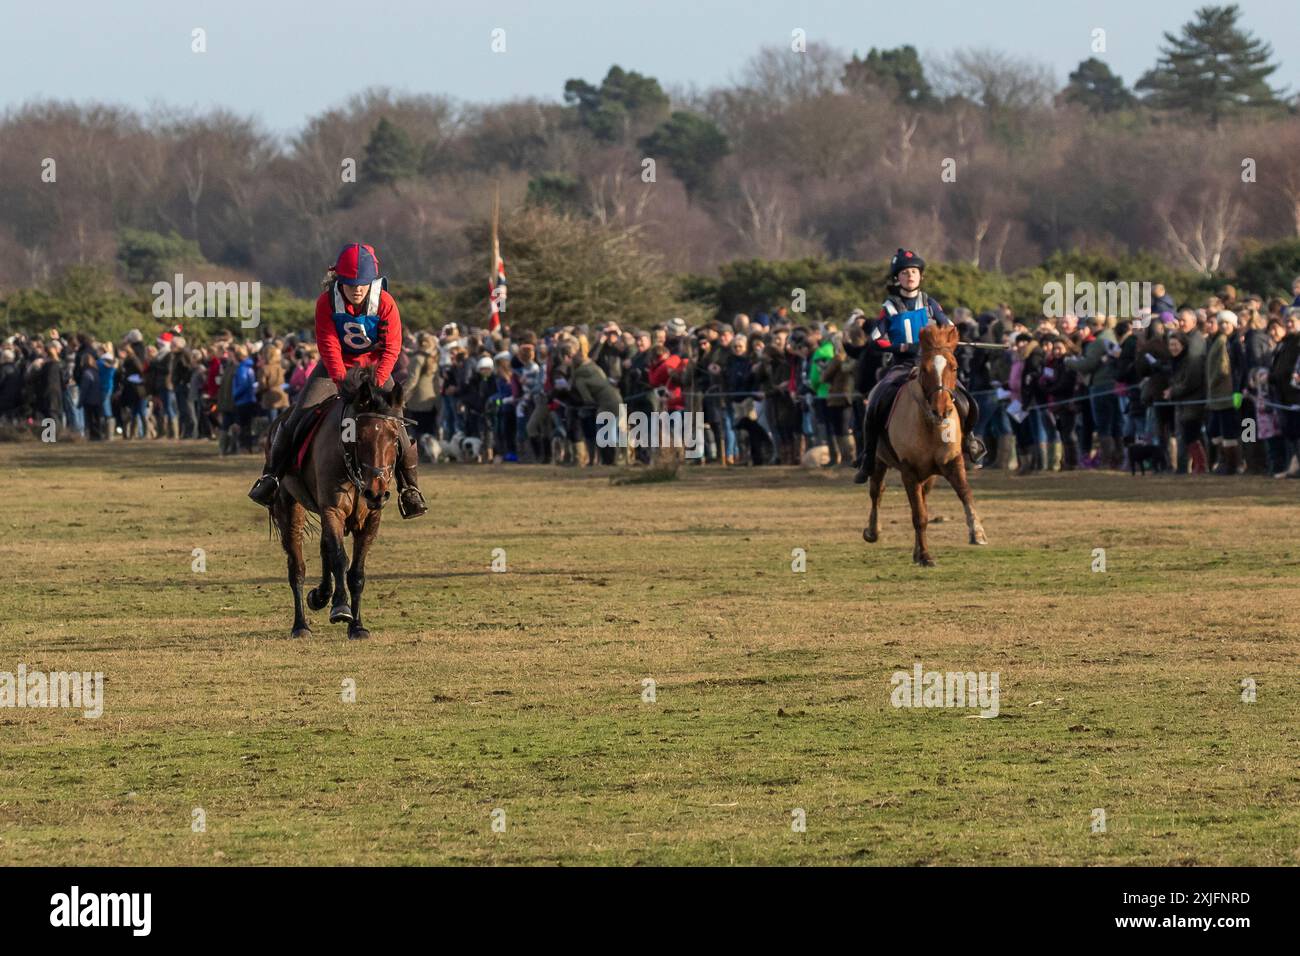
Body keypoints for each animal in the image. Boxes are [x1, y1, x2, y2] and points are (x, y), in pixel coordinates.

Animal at [263, 366, 405, 642]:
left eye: (395, 437)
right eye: (358, 436)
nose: (376, 492)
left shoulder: (370, 519)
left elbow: (356, 572)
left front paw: (357, 626)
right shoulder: (333, 510)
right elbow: (340, 558)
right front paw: (340, 607)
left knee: (324, 548)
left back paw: (320, 596)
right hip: (289, 508)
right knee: (297, 567)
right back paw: (301, 625)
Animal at [863, 325, 982, 567]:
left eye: (954, 367)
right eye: (925, 370)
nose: (942, 410)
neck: (929, 425)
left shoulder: (952, 462)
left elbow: (965, 493)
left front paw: (977, 532)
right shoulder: (908, 471)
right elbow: (919, 516)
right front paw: (926, 556)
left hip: (929, 475)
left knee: (922, 499)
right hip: (880, 461)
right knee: (877, 492)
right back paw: (873, 532)